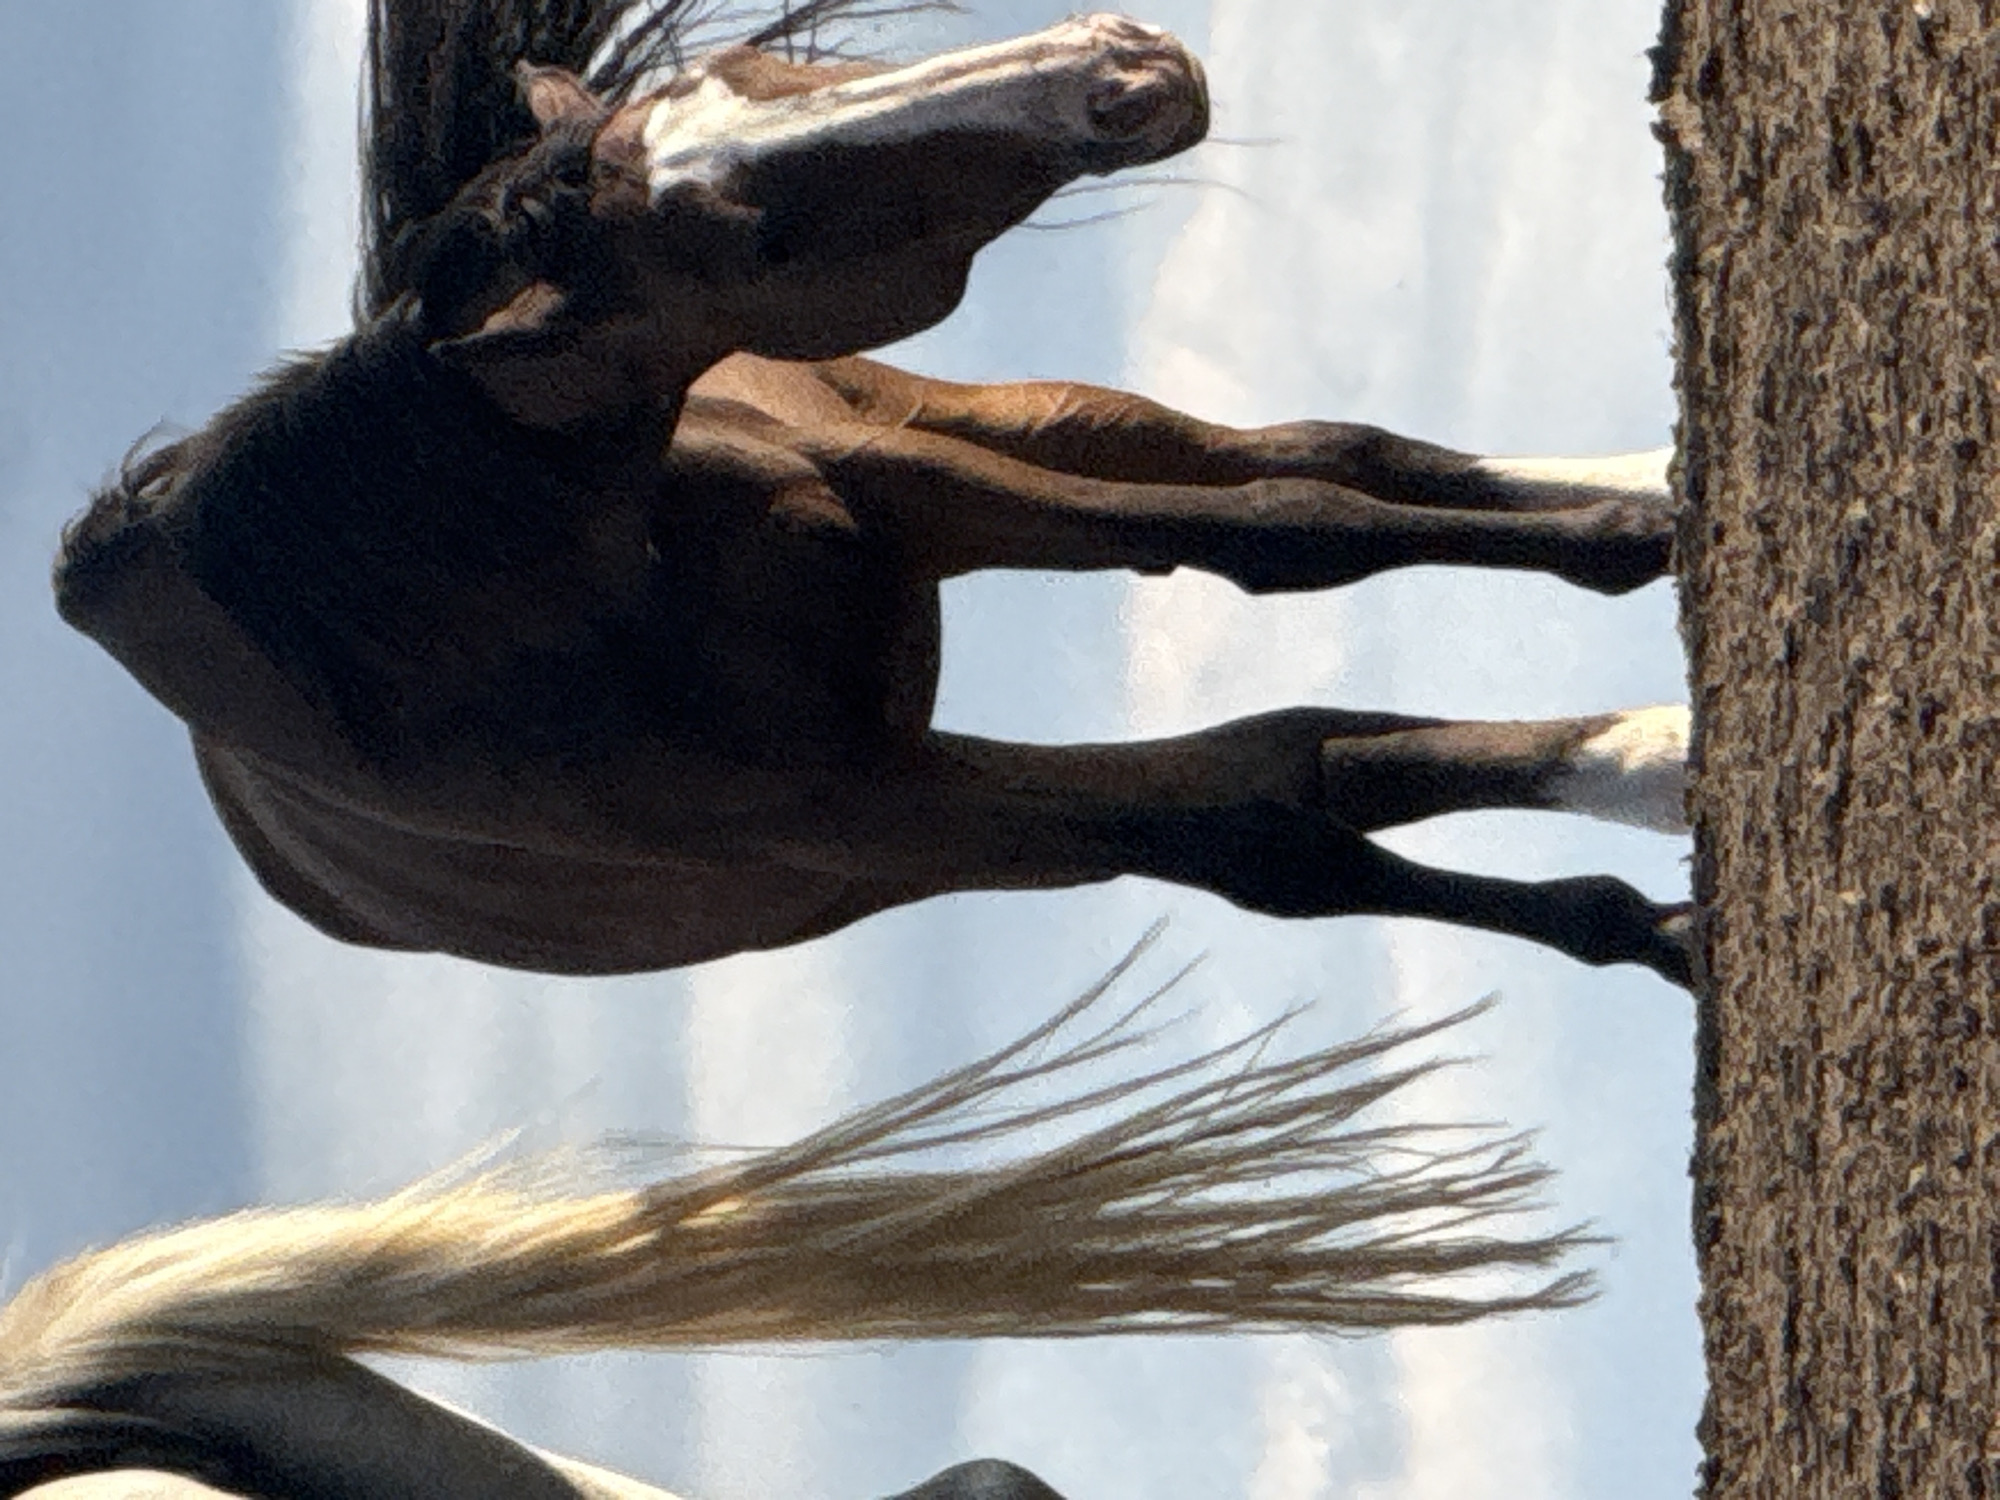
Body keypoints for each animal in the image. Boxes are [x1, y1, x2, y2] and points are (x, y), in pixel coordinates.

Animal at [54, 0, 1694, 986]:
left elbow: (1293, 532)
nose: (1122, 66)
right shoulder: (896, 817)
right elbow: (1281, 788)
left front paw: (1640, 607)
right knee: (1297, 704)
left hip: (969, 411)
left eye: (738, 79)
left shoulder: (911, 484)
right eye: (754, 234)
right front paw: (1650, 836)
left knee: (1326, 451)